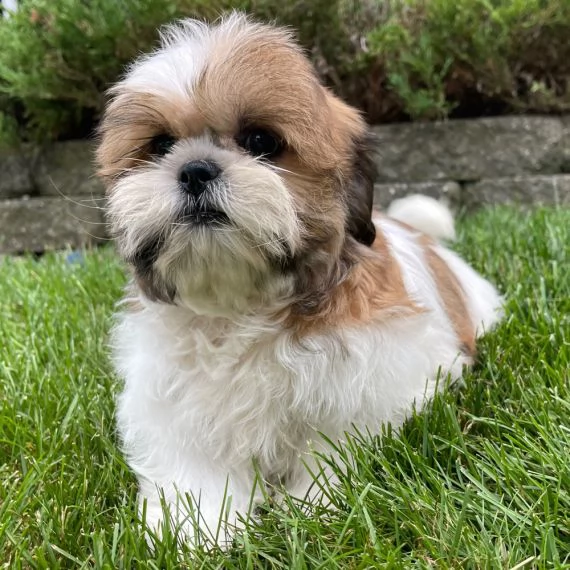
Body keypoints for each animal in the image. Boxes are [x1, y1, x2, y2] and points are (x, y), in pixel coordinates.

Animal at [96, 13, 502, 544]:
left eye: (261, 142)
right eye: (160, 145)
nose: (195, 169)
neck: (243, 305)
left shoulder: (363, 390)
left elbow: (332, 450)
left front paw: (314, 511)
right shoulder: (174, 401)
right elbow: (192, 468)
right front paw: (195, 531)